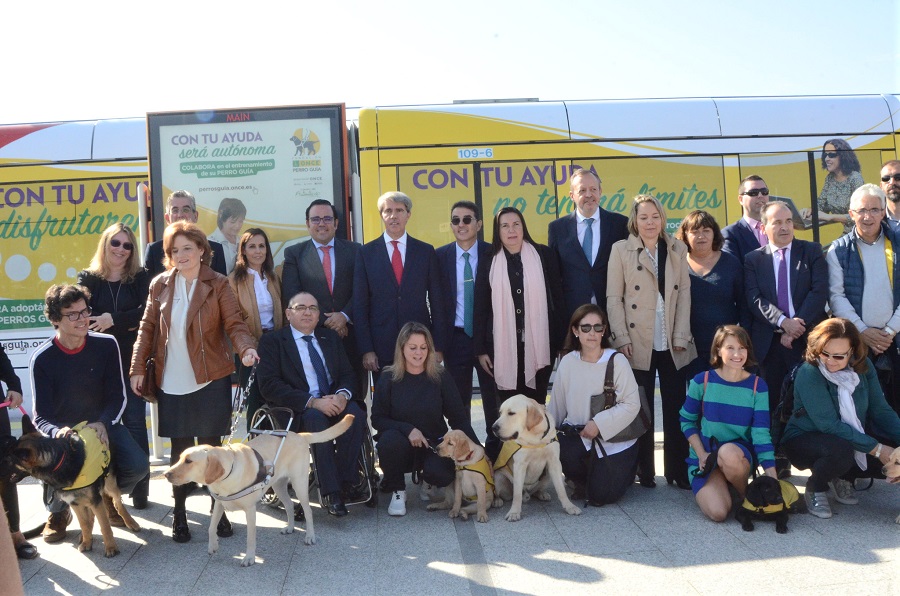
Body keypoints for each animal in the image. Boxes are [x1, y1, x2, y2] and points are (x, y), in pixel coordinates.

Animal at [166, 412, 356, 564]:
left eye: (189, 461)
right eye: (180, 458)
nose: (167, 474)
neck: (228, 473)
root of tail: (299, 435)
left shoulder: (250, 510)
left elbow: (250, 538)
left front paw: (249, 558)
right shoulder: (219, 503)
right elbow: (211, 527)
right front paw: (213, 546)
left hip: (299, 483)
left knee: (308, 511)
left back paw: (310, 536)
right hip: (279, 485)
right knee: (289, 505)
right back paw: (290, 527)